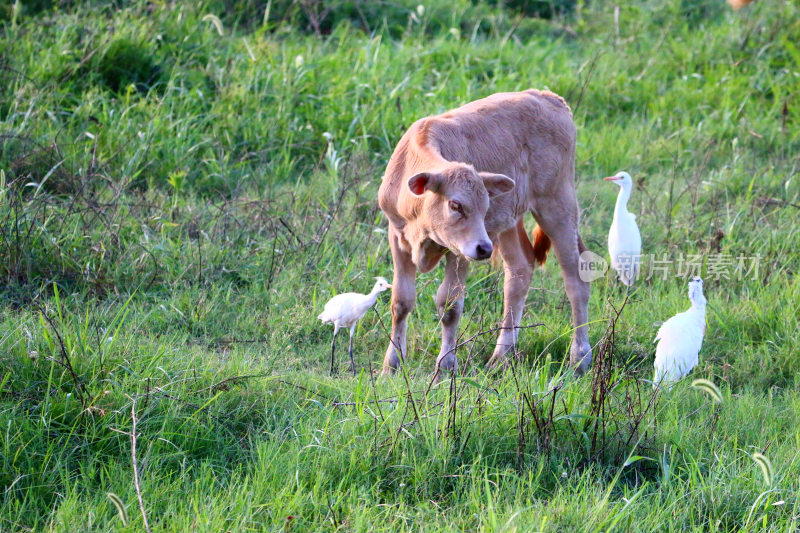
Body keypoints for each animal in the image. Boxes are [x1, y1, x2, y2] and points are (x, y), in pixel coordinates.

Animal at [378, 89, 592, 376]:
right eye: (455, 204)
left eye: (485, 205)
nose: (485, 248)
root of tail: (546, 96)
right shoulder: (397, 236)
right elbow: (401, 301)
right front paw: (391, 366)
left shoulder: (459, 251)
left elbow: (449, 305)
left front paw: (446, 367)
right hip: (510, 220)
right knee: (519, 271)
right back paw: (501, 356)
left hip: (558, 204)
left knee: (575, 279)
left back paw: (579, 358)